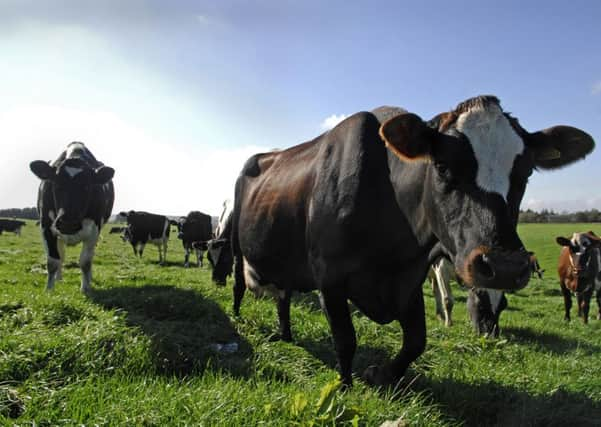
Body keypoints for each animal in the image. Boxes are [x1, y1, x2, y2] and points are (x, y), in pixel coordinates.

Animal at [29, 142, 115, 292]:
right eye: (57, 184)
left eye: (87, 186)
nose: (68, 223)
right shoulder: (46, 227)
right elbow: (52, 261)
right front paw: (49, 290)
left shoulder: (95, 229)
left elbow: (85, 261)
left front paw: (85, 288)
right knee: (61, 255)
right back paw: (58, 278)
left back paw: (89, 278)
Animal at [227, 97, 592, 388]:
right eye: (442, 166)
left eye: (527, 172)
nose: (503, 266)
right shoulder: (329, 277)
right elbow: (345, 340)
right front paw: (344, 387)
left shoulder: (409, 279)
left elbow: (416, 341)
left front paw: (382, 374)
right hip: (235, 244)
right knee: (240, 285)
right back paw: (237, 317)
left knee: (284, 295)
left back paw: (286, 334)